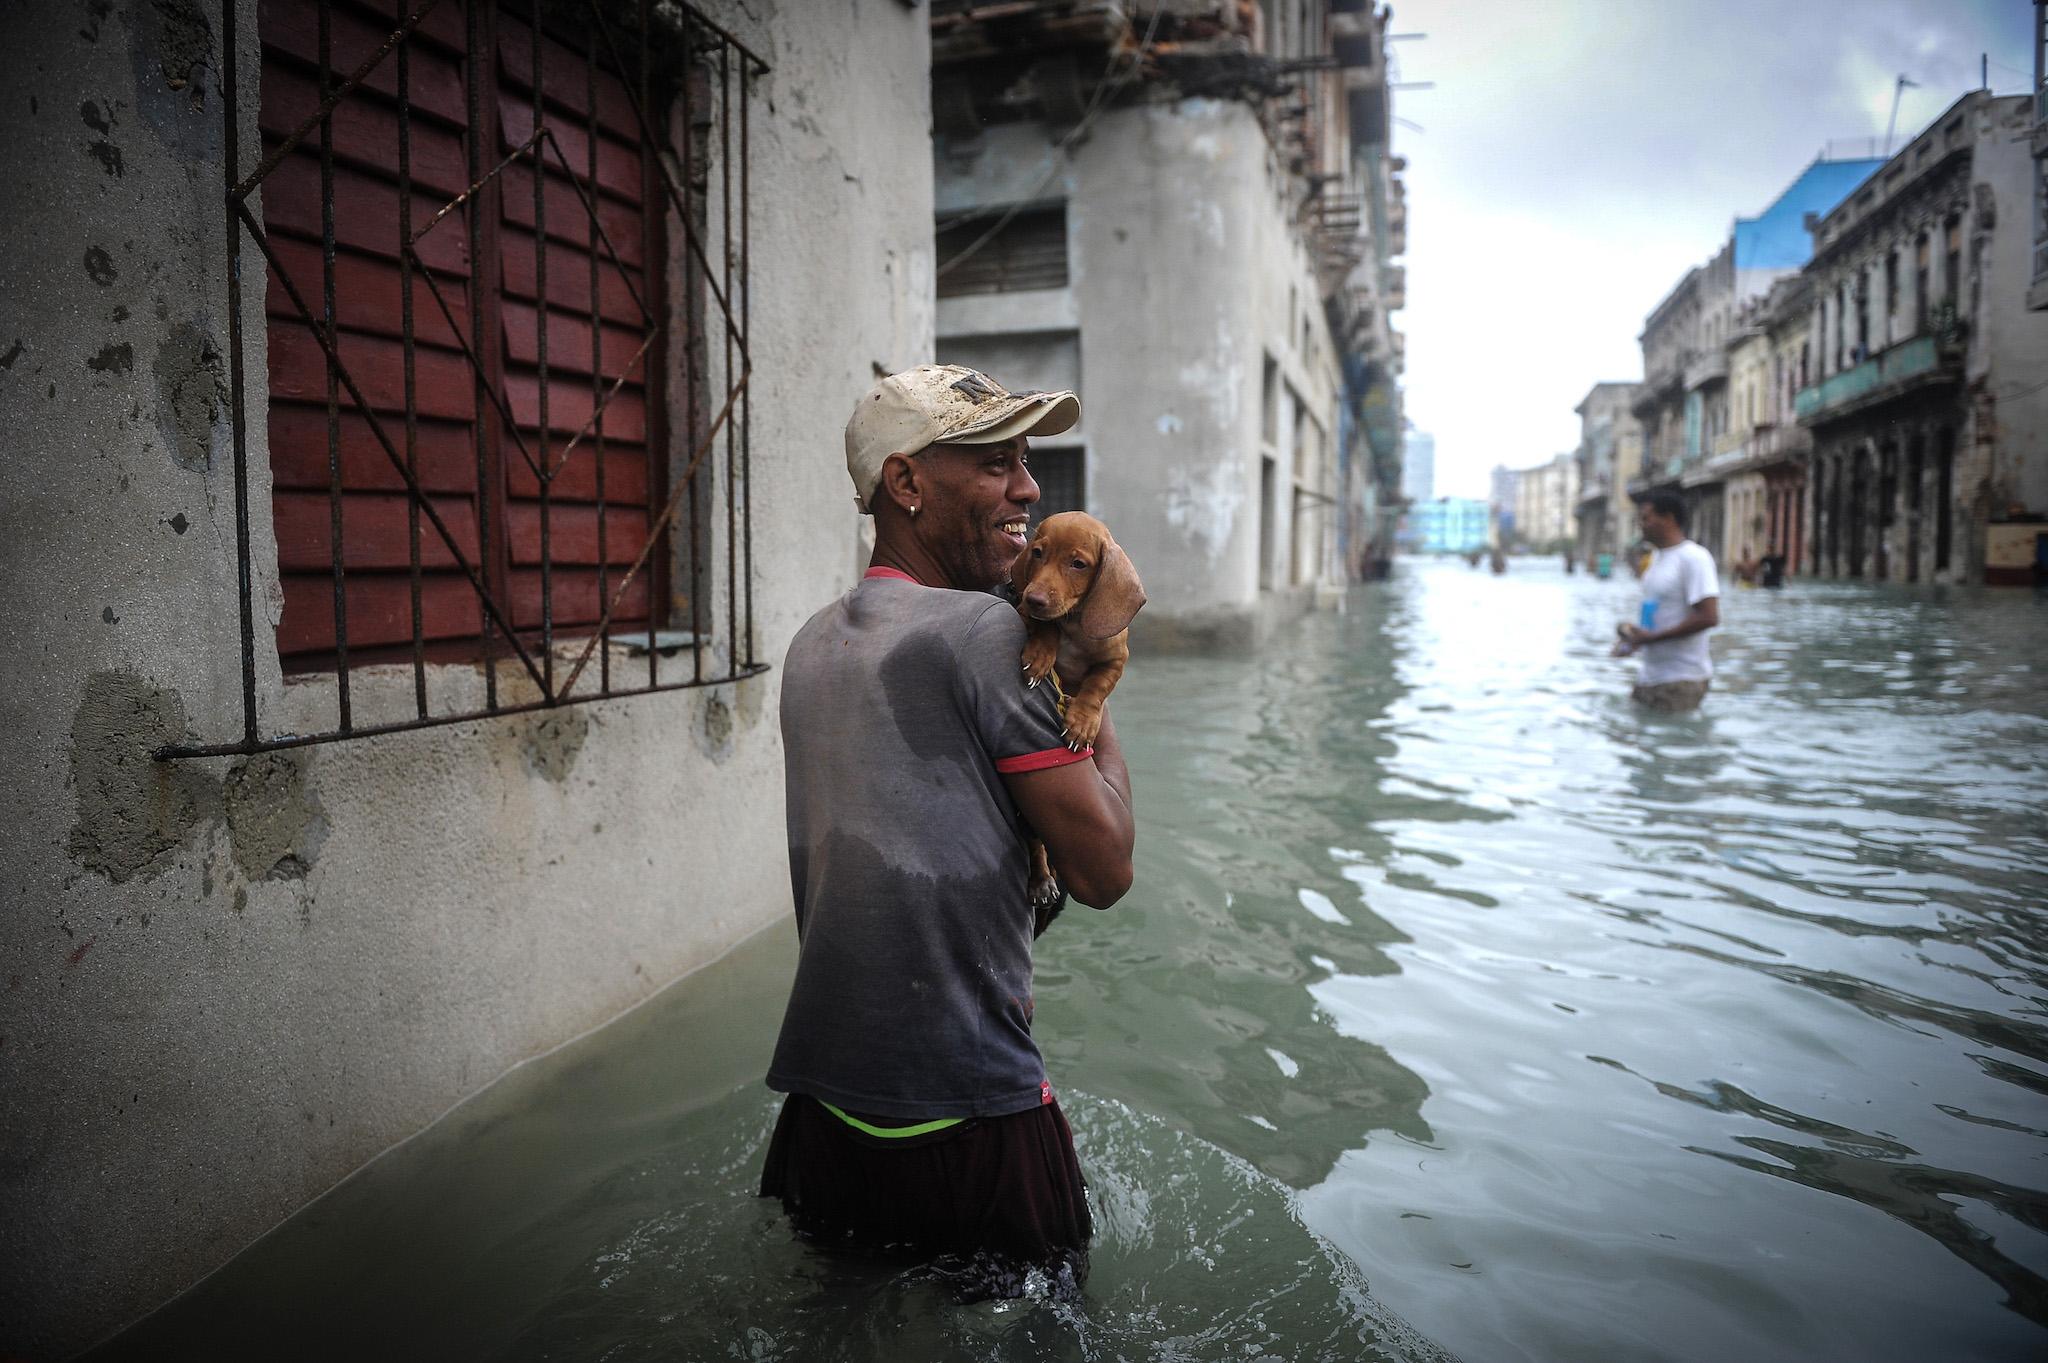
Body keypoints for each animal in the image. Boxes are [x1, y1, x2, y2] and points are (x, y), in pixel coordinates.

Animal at [1011, 509, 1146, 925]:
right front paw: (1042, 654)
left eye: (1078, 564)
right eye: (1038, 553)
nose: (1034, 597)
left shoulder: (1116, 660)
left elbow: (1095, 689)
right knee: (1037, 846)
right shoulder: (1025, 614)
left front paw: (1083, 723)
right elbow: (1045, 628)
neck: (1074, 623)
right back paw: (1042, 882)